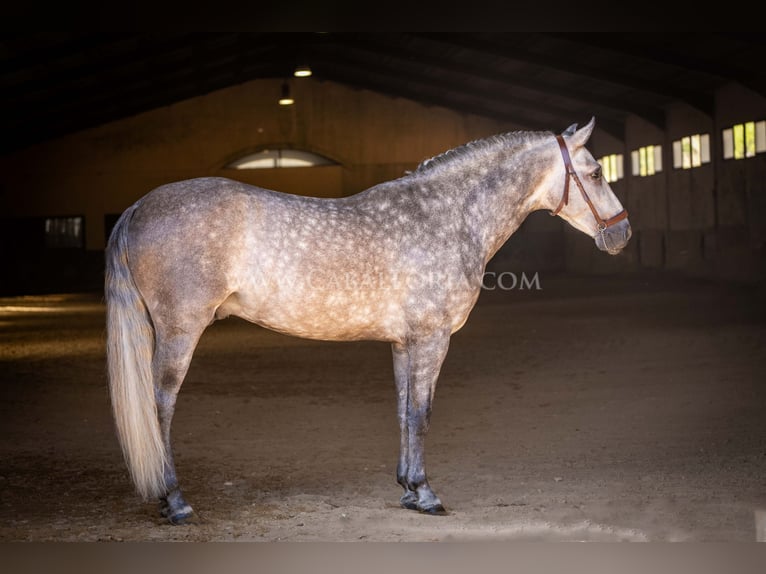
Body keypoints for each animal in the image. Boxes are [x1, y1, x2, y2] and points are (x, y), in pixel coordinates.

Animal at [106, 118, 632, 528]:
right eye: (596, 172)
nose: (622, 232)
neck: (447, 216)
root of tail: (138, 206)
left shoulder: (403, 343)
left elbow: (403, 411)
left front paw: (407, 490)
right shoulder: (432, 339)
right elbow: (422, 414)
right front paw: (426, 494)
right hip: (179, 332)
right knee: (160, 407)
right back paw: (174, 501)